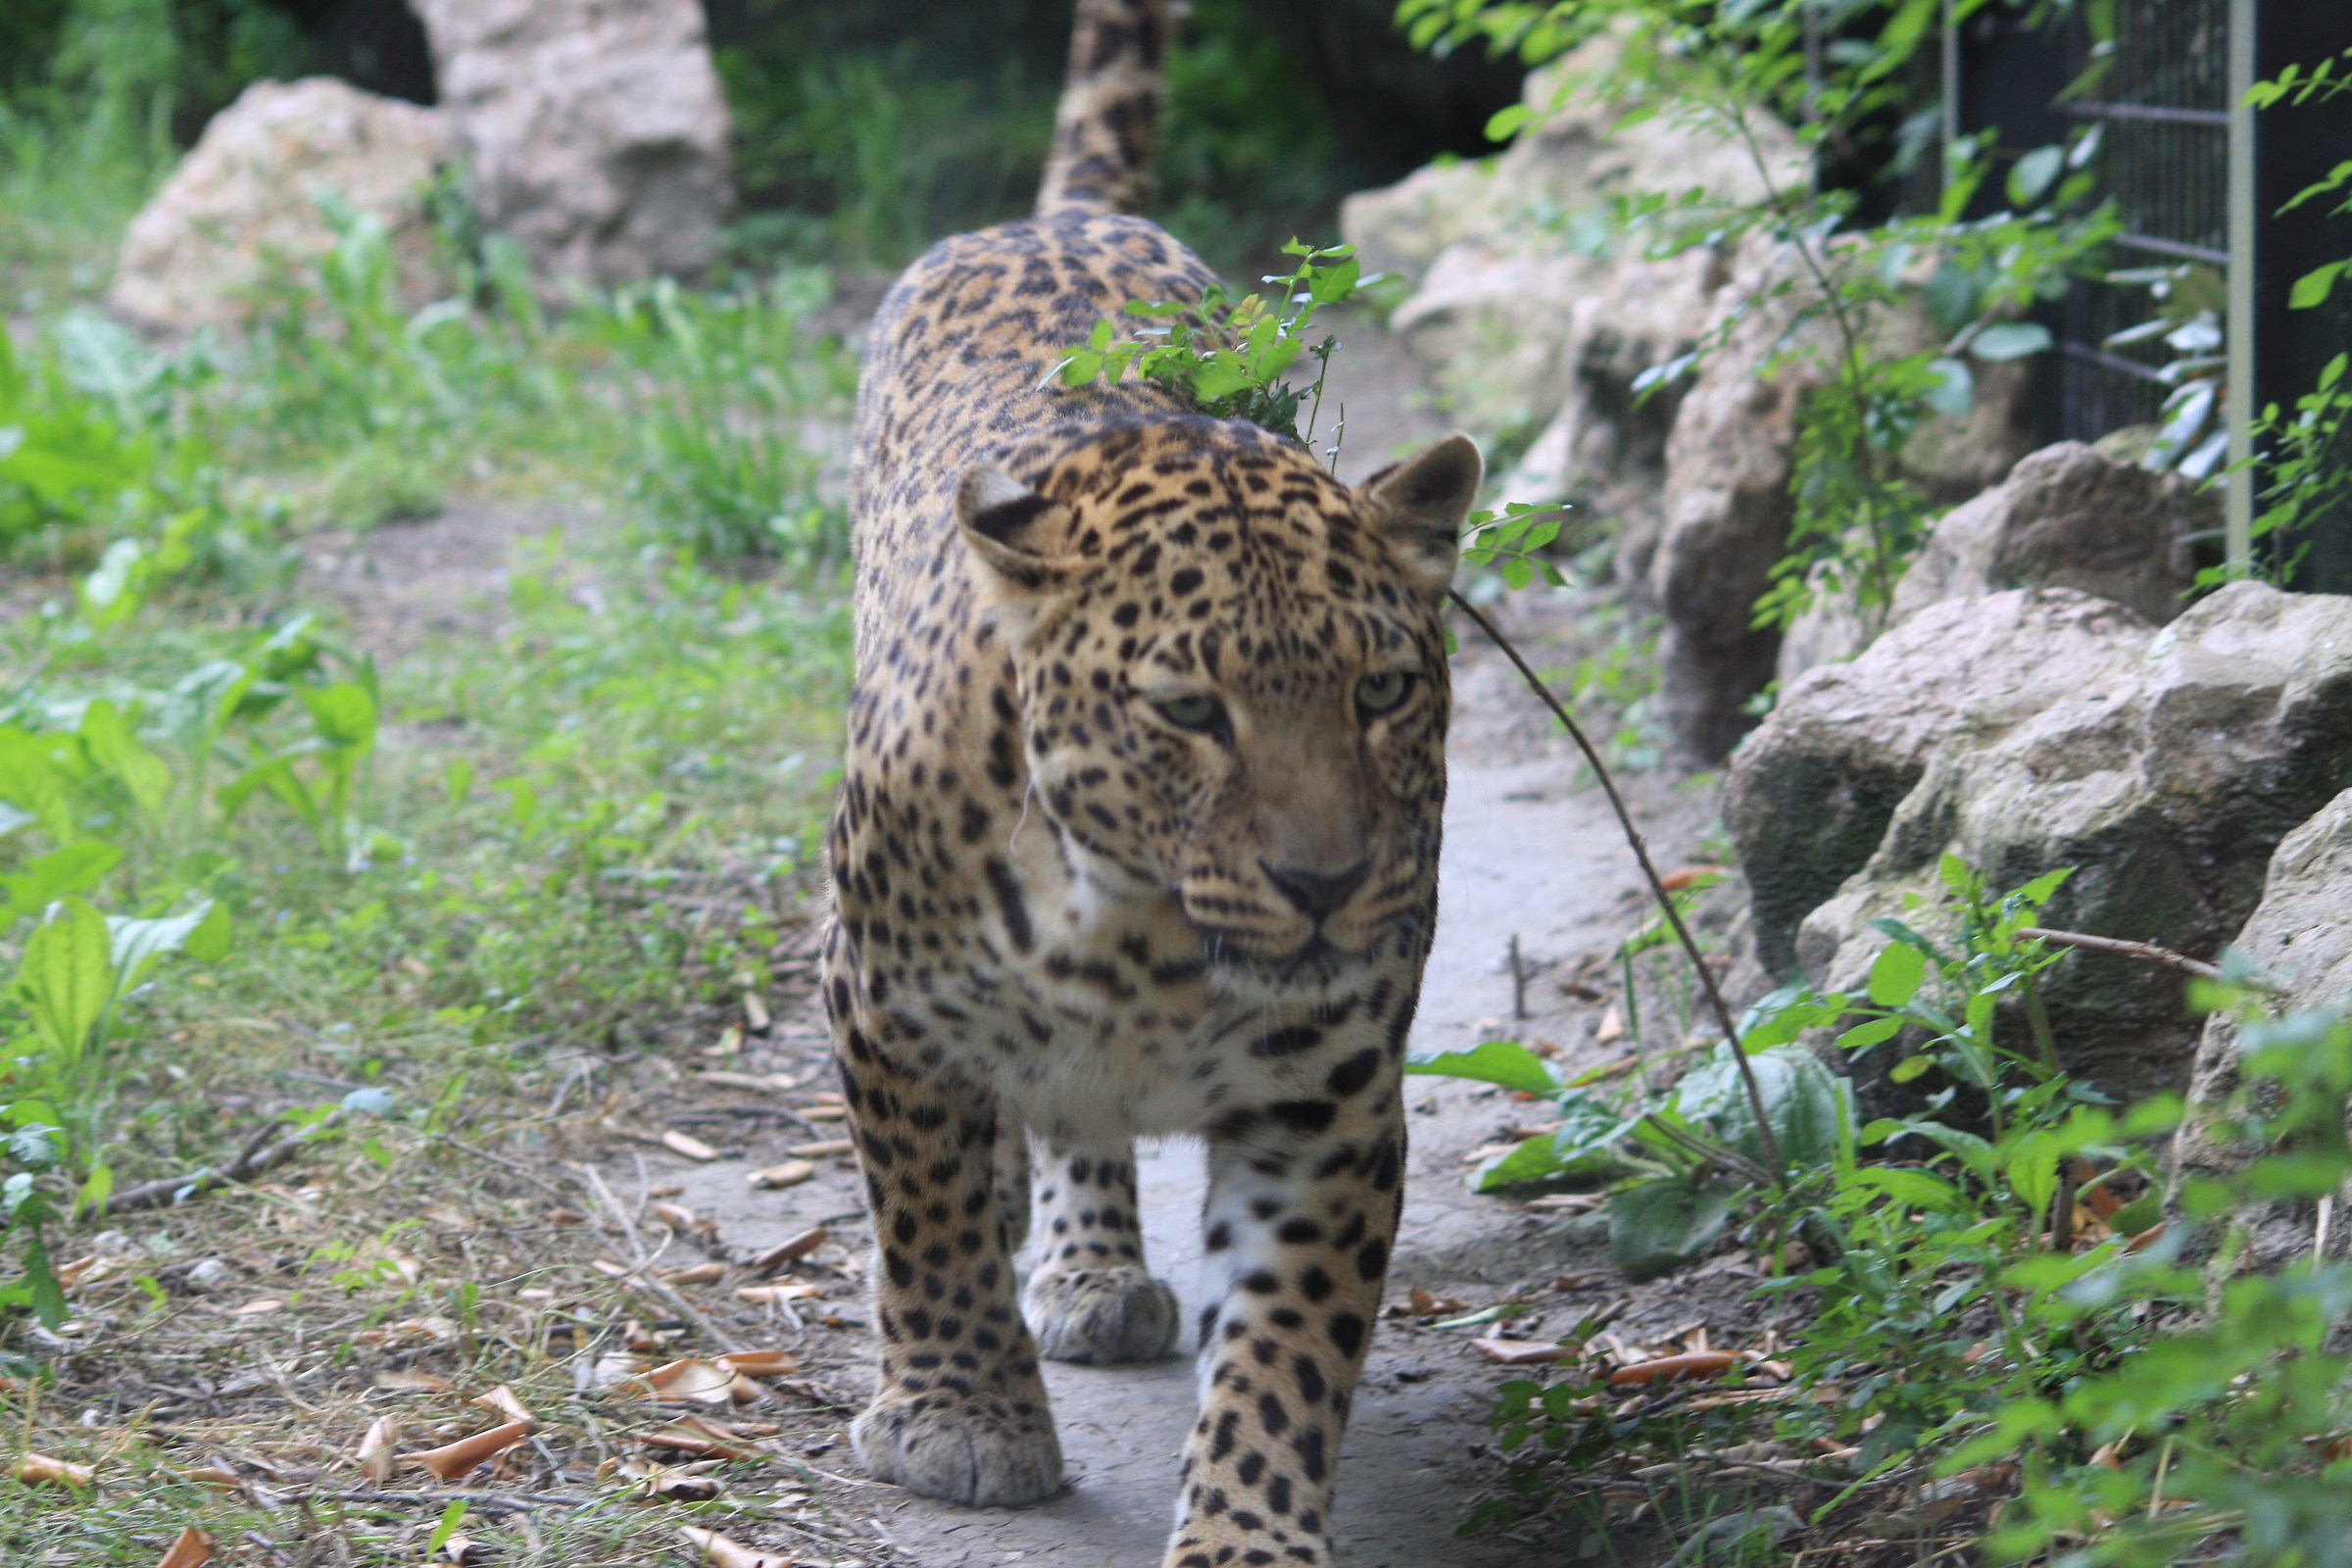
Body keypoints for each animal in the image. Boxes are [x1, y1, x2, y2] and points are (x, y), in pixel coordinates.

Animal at [819, 2, 1481, 1562]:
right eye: (1190, 712)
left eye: (1380, 692)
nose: (1325, 885)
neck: (1144, 935)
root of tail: (1053, 215)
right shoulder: (878, 1001)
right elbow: (926, 1215)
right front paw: (960, 1418)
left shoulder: (1329, 1099)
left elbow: (1289, 1342)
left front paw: (1248, 1528)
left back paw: (1090, 1264)